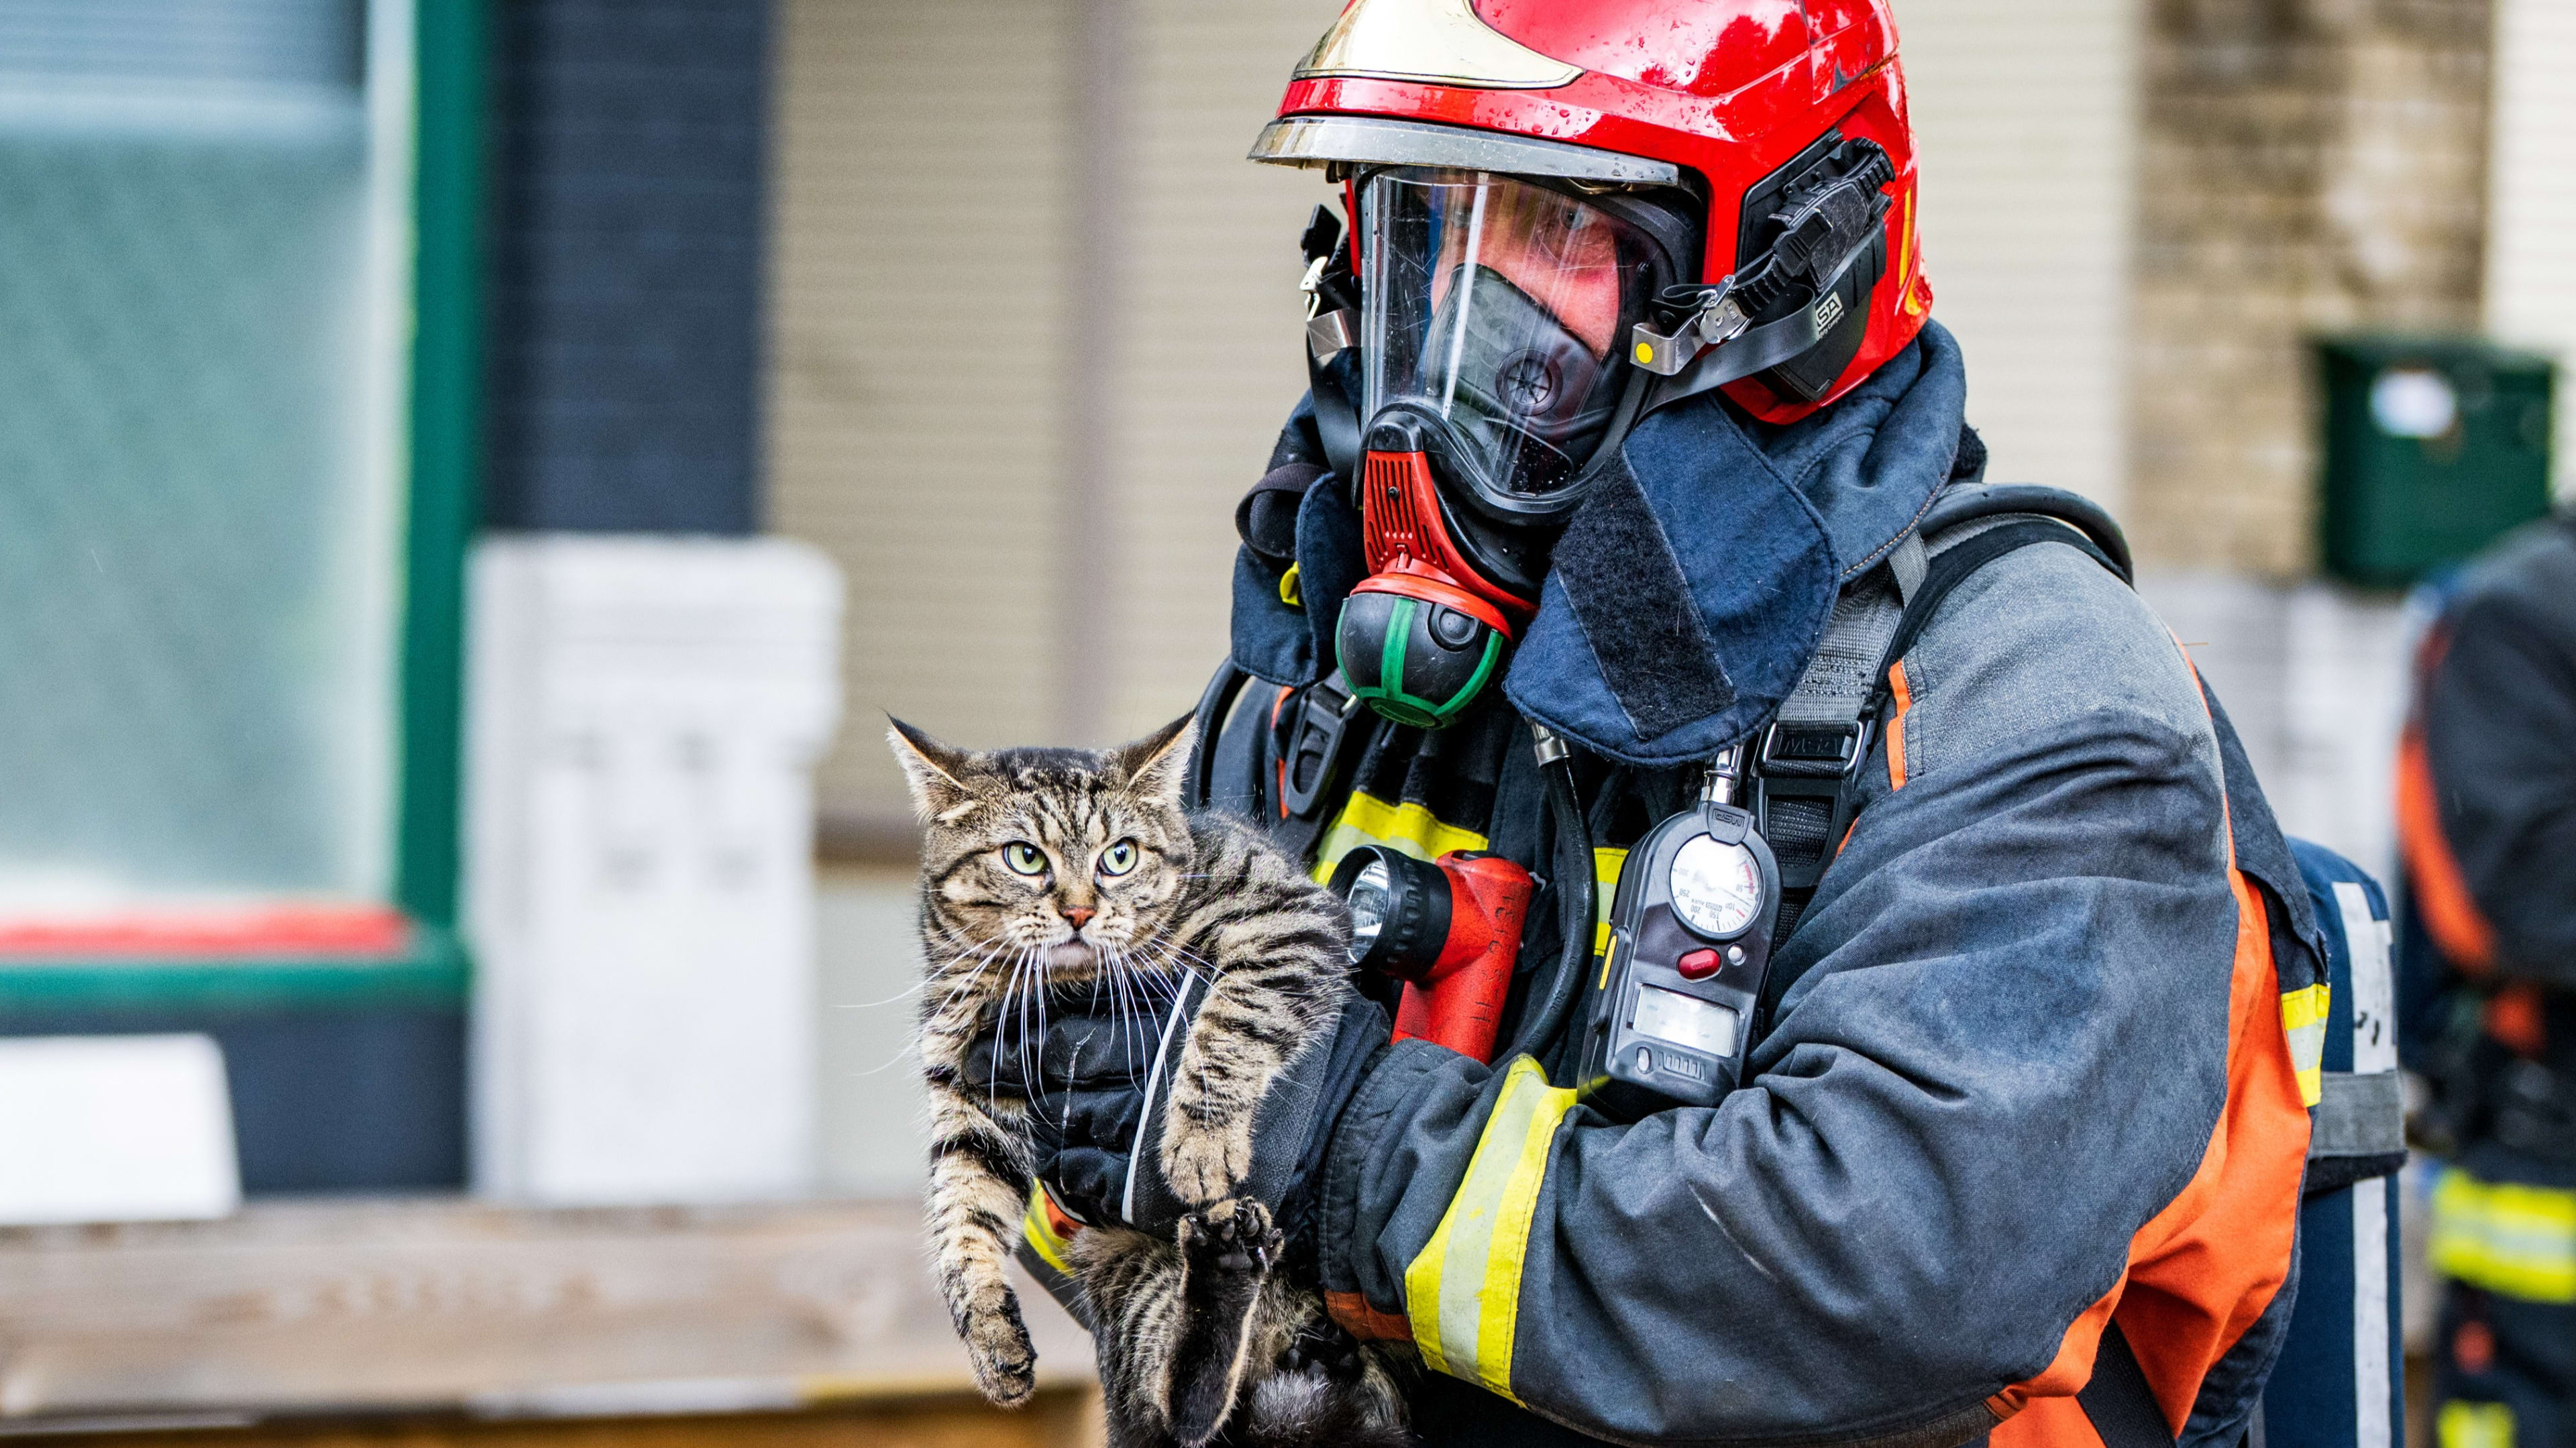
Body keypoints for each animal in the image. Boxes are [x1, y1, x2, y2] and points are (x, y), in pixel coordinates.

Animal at [885, 711, 1411, 1443]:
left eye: (1120, 856)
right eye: (1026, 857)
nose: (1080, 911)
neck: (1060, 987)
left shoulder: (1290, 919)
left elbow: (1228, 1020)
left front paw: (1201, 1143)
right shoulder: (967, 1087)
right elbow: (962, 1212)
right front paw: (988, 1328)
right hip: (1129, 1269)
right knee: (1179, 1407)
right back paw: (1226, 1270)